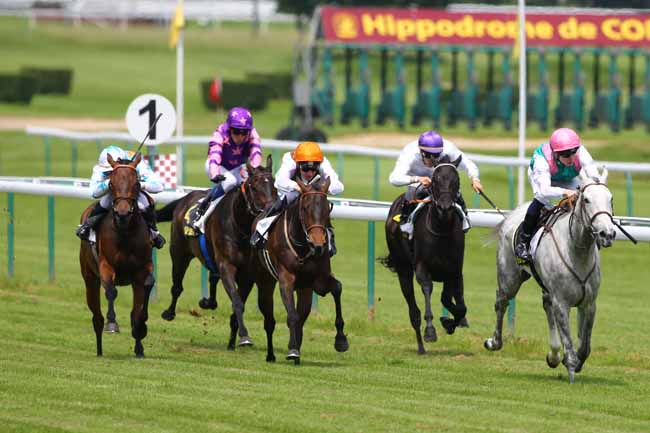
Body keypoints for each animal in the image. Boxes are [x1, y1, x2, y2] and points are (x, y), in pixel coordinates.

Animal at [79, 153, 155, 358]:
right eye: (111, 184)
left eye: (137, 183)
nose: (122, 213)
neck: (125, 232)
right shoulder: (105, 265)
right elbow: (111, 291)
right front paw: (112, 323)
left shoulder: (142, 270)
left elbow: (142, 299)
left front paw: (140, 334)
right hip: (90, 279)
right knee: (97, 316)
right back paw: (99, 349)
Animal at [155, 155, 277, 350]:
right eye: (254, 187)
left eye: (274, 185)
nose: (271, 209)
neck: (239, 227)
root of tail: (186, 198)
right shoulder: (227, 265)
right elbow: (237, 302)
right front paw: (244, 337)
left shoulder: (247, 275)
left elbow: (238, 302)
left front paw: (233, 341)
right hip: (179, 253)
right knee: (177, 286)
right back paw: (169, 312)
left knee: (212, 277)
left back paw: (208, 302)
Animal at [257, 176, 349, 364]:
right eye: (305, 208)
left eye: (327, 207)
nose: (318, 244)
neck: (302, 247)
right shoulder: (286, 279)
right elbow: (292, 315)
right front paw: (292, 350)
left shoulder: (318, 280)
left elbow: (337, 288)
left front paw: (341, 340)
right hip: (264, 280)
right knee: (268, 318)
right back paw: (271, 354)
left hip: (304, 288)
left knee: (302, 315)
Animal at [380, 156, 466, 355]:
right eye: (434, 180)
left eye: (456, 180)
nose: (445, 207)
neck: (441, 229)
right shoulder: (421, 267)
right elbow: (428, 288)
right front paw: (430, 331)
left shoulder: (454, 270)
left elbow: (458, 305)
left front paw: (449, 322)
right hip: (403, 269)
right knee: (414, 312)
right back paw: (421, 346)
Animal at [484, 168, 617, 383]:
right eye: (586, 199)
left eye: (610, 198)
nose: (608, 233)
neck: (576, 251)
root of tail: (512, 214)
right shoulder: (562, 302)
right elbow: (568, 340)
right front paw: (570, 368)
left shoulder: (589, 303)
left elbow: (585, 345)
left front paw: (574, 362)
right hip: (509, 278)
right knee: (501, 302)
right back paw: (494, 342)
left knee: (546, 305)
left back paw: (553, 355)